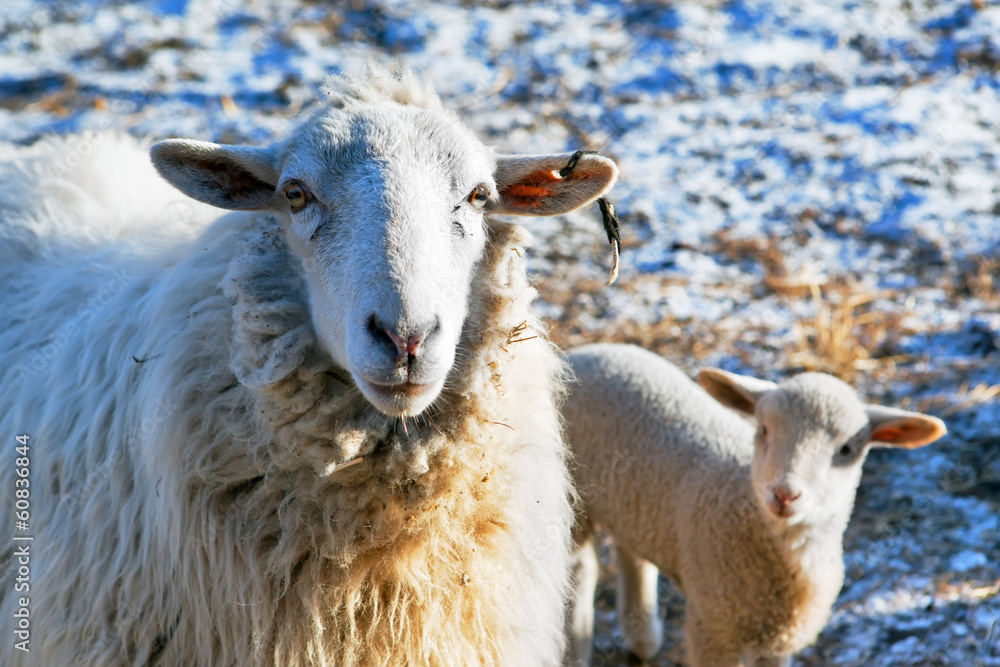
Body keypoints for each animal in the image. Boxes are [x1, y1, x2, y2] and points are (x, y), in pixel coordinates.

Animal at [562, 343, 947, 666]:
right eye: (763, 429)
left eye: (847, 449)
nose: (784, 494)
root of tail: (584, 352)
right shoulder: (713, 627)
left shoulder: (777, 641)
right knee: (580, 570)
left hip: (631, 503)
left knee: (630, 551)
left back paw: (643, 640)